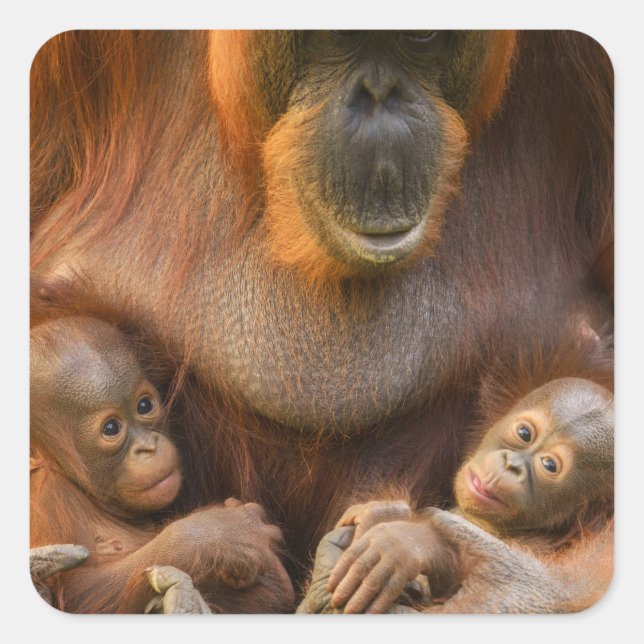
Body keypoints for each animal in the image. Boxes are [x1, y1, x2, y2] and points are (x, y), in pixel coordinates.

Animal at [30, 316, 294, 613]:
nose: (149, 447)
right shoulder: (51, 503)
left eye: (144, 406)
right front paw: (221, 534)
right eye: (111, 428)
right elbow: (79, 590)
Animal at [323, 377, 614, 613]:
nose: (512, 464)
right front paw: (382, 512)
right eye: (524, 433)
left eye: (550, 465)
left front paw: (406, 544)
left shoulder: (540, 543)